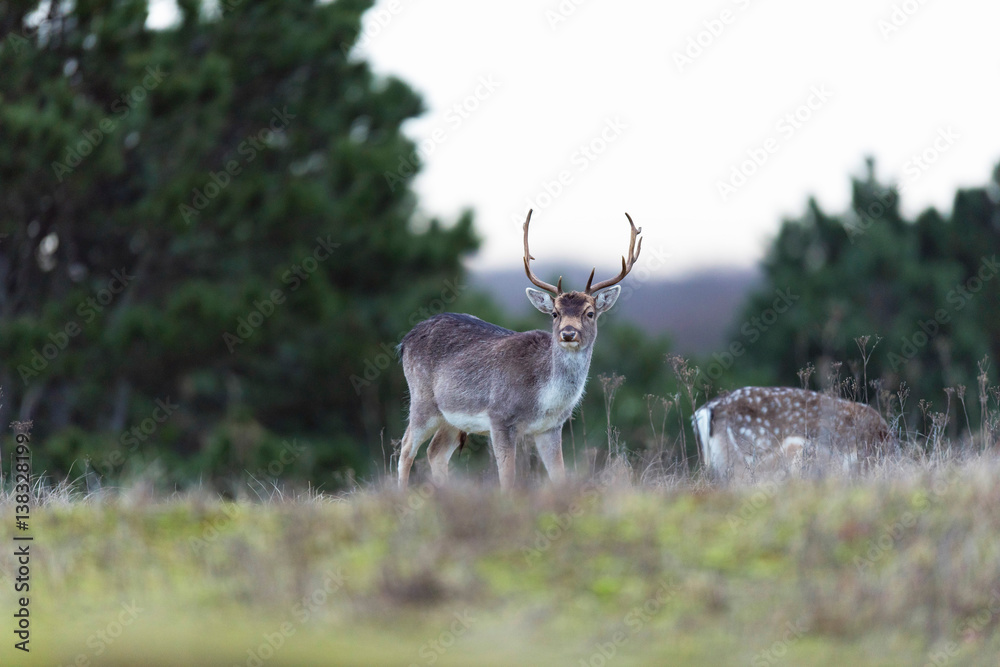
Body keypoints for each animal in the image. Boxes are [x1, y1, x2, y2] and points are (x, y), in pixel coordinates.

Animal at [397, 210, 642, 490]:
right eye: (555, 313)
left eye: (590, 313)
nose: (568, 333)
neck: (543, 397)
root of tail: (405, 341)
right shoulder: (500, 416)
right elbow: (508, 479)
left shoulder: (551, 427)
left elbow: (559, 475)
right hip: (422, 399)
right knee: (406, 448)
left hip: (451, 416)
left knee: (435, 451)